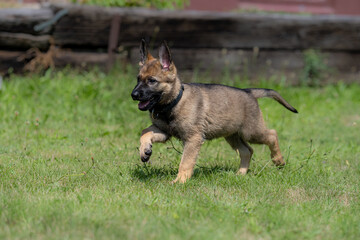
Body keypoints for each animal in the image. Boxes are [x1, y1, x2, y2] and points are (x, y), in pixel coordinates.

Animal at [131, 40, 296, 183]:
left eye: (152, 81)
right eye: (138, 79)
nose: (133, 95)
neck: (173, 103)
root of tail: (249, 92)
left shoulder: (193, 139)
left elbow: (185, 162)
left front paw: (180, 181)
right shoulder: (164, 131)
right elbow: (145, 132)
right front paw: (145, 150)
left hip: (250, 132)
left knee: (272, 134)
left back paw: (278, 160)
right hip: (232, 135)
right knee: (247, 151)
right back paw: (241, 173)